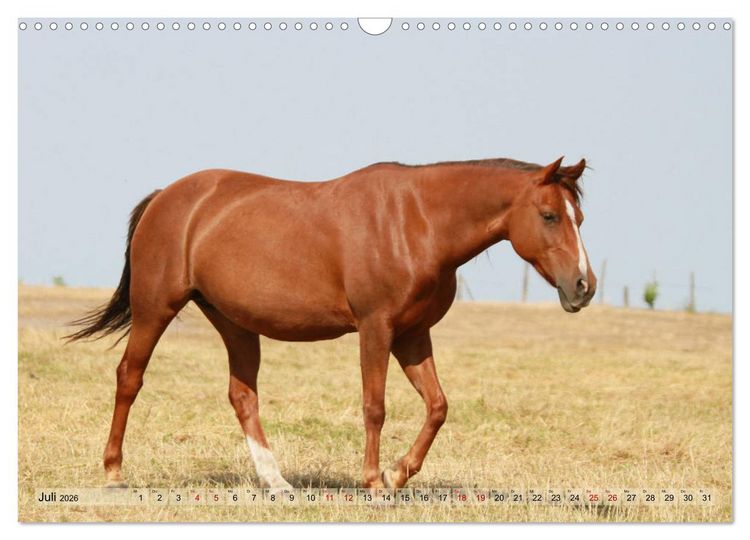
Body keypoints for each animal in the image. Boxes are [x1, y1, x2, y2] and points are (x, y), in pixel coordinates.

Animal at [67, 156, 596, 490]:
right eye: (549, 215)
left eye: (580, 218)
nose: (583, 286)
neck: (416, 222)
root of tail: (166, 197)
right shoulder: (376, 328)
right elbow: (375, 407)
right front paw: (373, 481)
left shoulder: (412, 335)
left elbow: (438, 406)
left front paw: (398, 474)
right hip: (155, 309)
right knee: (129, 378)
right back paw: (113, 472)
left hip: (235, 323)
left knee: (242, 396)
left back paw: (276, 481)